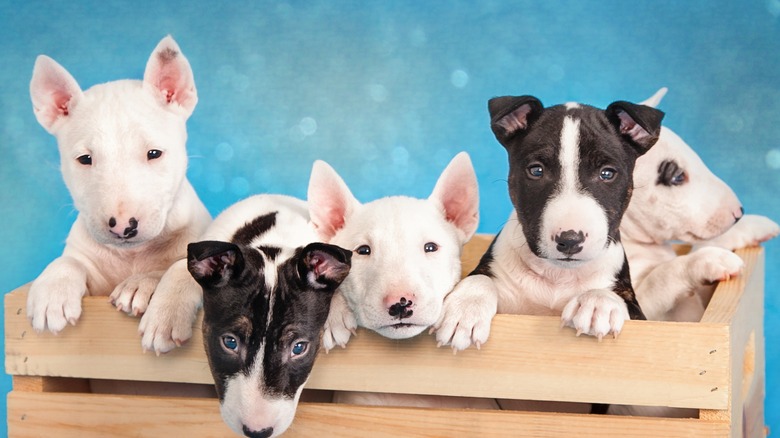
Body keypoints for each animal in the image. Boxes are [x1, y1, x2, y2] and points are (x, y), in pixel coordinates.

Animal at [27, 36, 212, 332]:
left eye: (154, 153)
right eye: (85, 159)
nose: (123, 226)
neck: (132, 256)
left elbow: (166, 269)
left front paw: (140, 285)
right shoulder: (91, 275)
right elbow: (68, 261)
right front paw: (52, 293)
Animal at [432, 96, 664, 352]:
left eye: (607, 173)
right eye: (536, 170)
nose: (570, 240)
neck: (558, 276)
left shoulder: (640, 314)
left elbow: (617, 298)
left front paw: (597, 303)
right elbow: (479, 279)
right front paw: (464, 309)